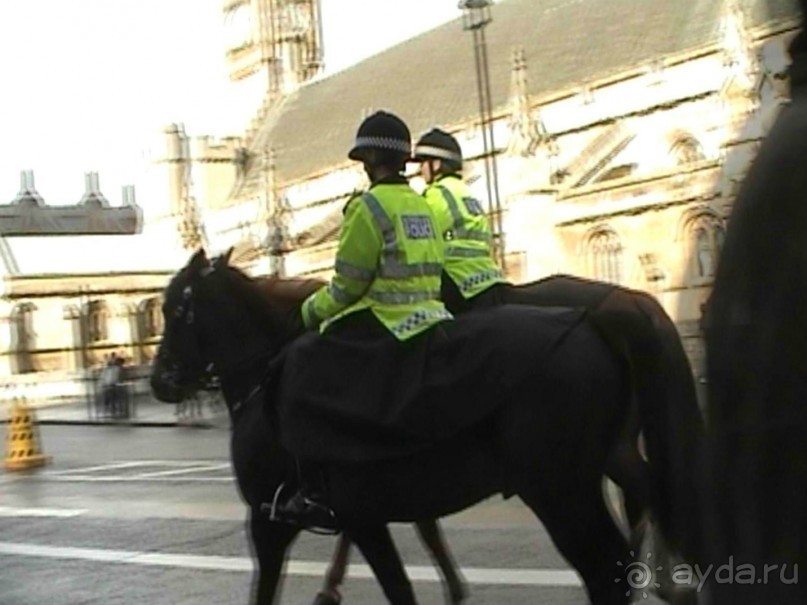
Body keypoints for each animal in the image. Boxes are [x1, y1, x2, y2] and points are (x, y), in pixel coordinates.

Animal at [150, 249, 700, 604]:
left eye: (174, 307)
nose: (159, 380)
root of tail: (603, 314)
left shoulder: (271, 520)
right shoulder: (365, 515)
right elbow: (406, 567)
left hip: (558, 488)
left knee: (608, 562)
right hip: (601, 460)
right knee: (651, 500)